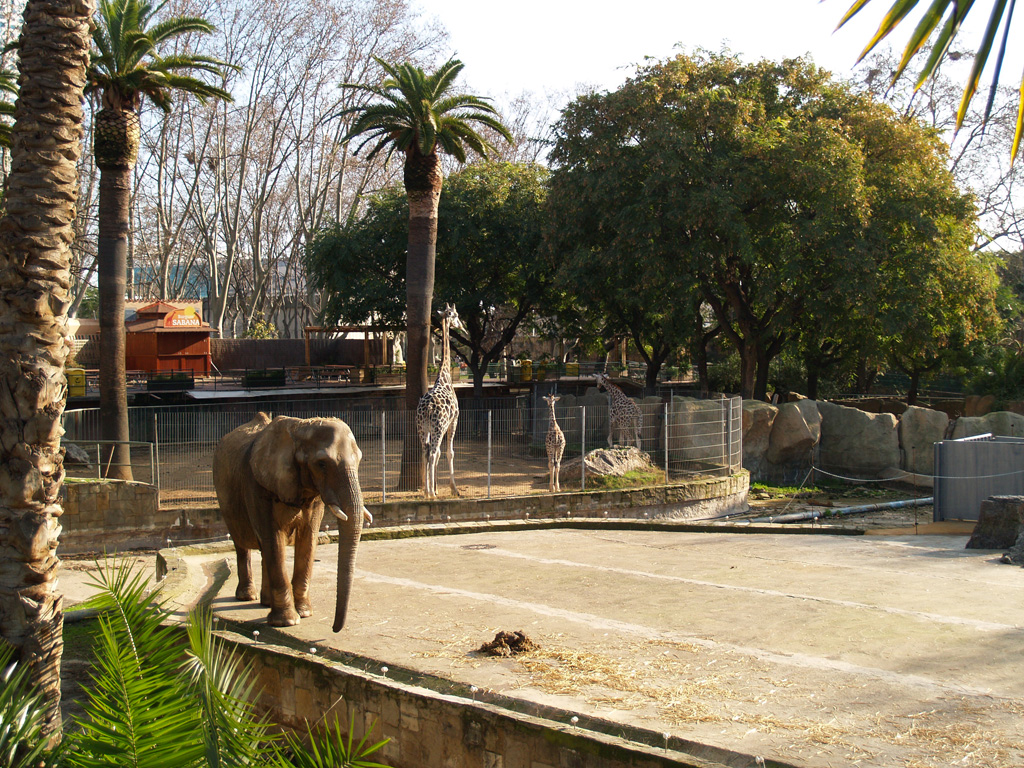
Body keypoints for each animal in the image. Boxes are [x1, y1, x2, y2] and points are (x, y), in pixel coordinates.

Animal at [212, 412, 371, 631]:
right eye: (321, 463)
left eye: (359, 460)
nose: (333, 628)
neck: (301, 427)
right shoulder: (256, 485)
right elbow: (273, 539)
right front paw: (287, 622)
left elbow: (308, 538)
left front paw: (304, 613)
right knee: (242, 543)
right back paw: (247, 596)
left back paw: (265, 602)